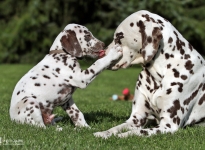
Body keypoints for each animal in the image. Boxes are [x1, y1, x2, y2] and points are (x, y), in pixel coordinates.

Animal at [94, 9, 205, 138]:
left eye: (119, 36)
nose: (100, 54)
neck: (158, 75)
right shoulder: (136, 118)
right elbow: (115, 128)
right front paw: (103, 133)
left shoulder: (168, 125)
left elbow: (136, 132)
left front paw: (120, 136)